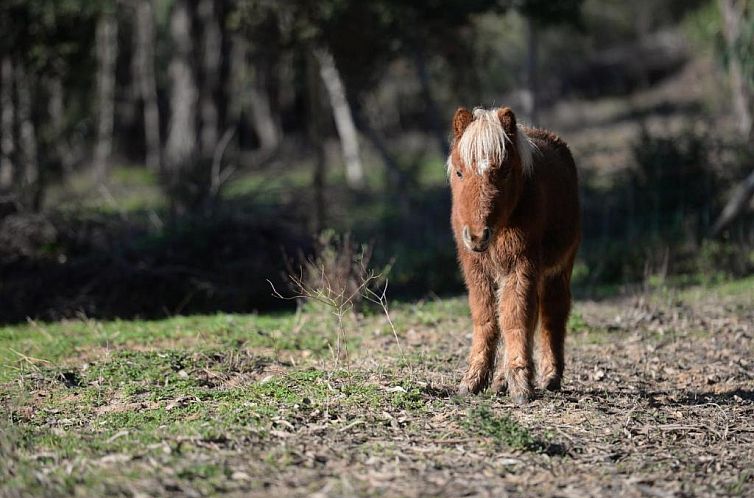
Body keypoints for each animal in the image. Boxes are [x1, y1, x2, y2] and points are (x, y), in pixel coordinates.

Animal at [446, 106, 580, 404]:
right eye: (459, 172)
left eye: (505, 171)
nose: (477, 236)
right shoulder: (476, 270)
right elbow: (486, 317)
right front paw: (473, 380)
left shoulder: (521, 265)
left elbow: (515, 318)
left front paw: (520, 384)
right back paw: (500, 380)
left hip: (559, 268)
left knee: (553, 311)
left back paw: (550, 376)